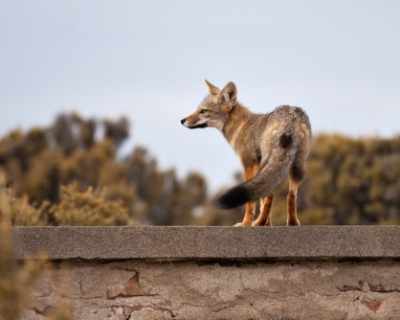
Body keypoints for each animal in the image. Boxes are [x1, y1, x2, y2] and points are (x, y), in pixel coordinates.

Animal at [180, 79, 312, 228]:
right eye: (197, 109)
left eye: (203, 111)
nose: (182, 120)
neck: (240, 126)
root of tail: (291, 116)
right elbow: (260, 199)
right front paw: (266, 224)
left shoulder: (248, 163)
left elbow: (251, 201)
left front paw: (247, 223)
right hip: (296, 166)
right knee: (290, 195)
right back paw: (291, 223)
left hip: (269, 163)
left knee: (269, 195)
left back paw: (258, 222)